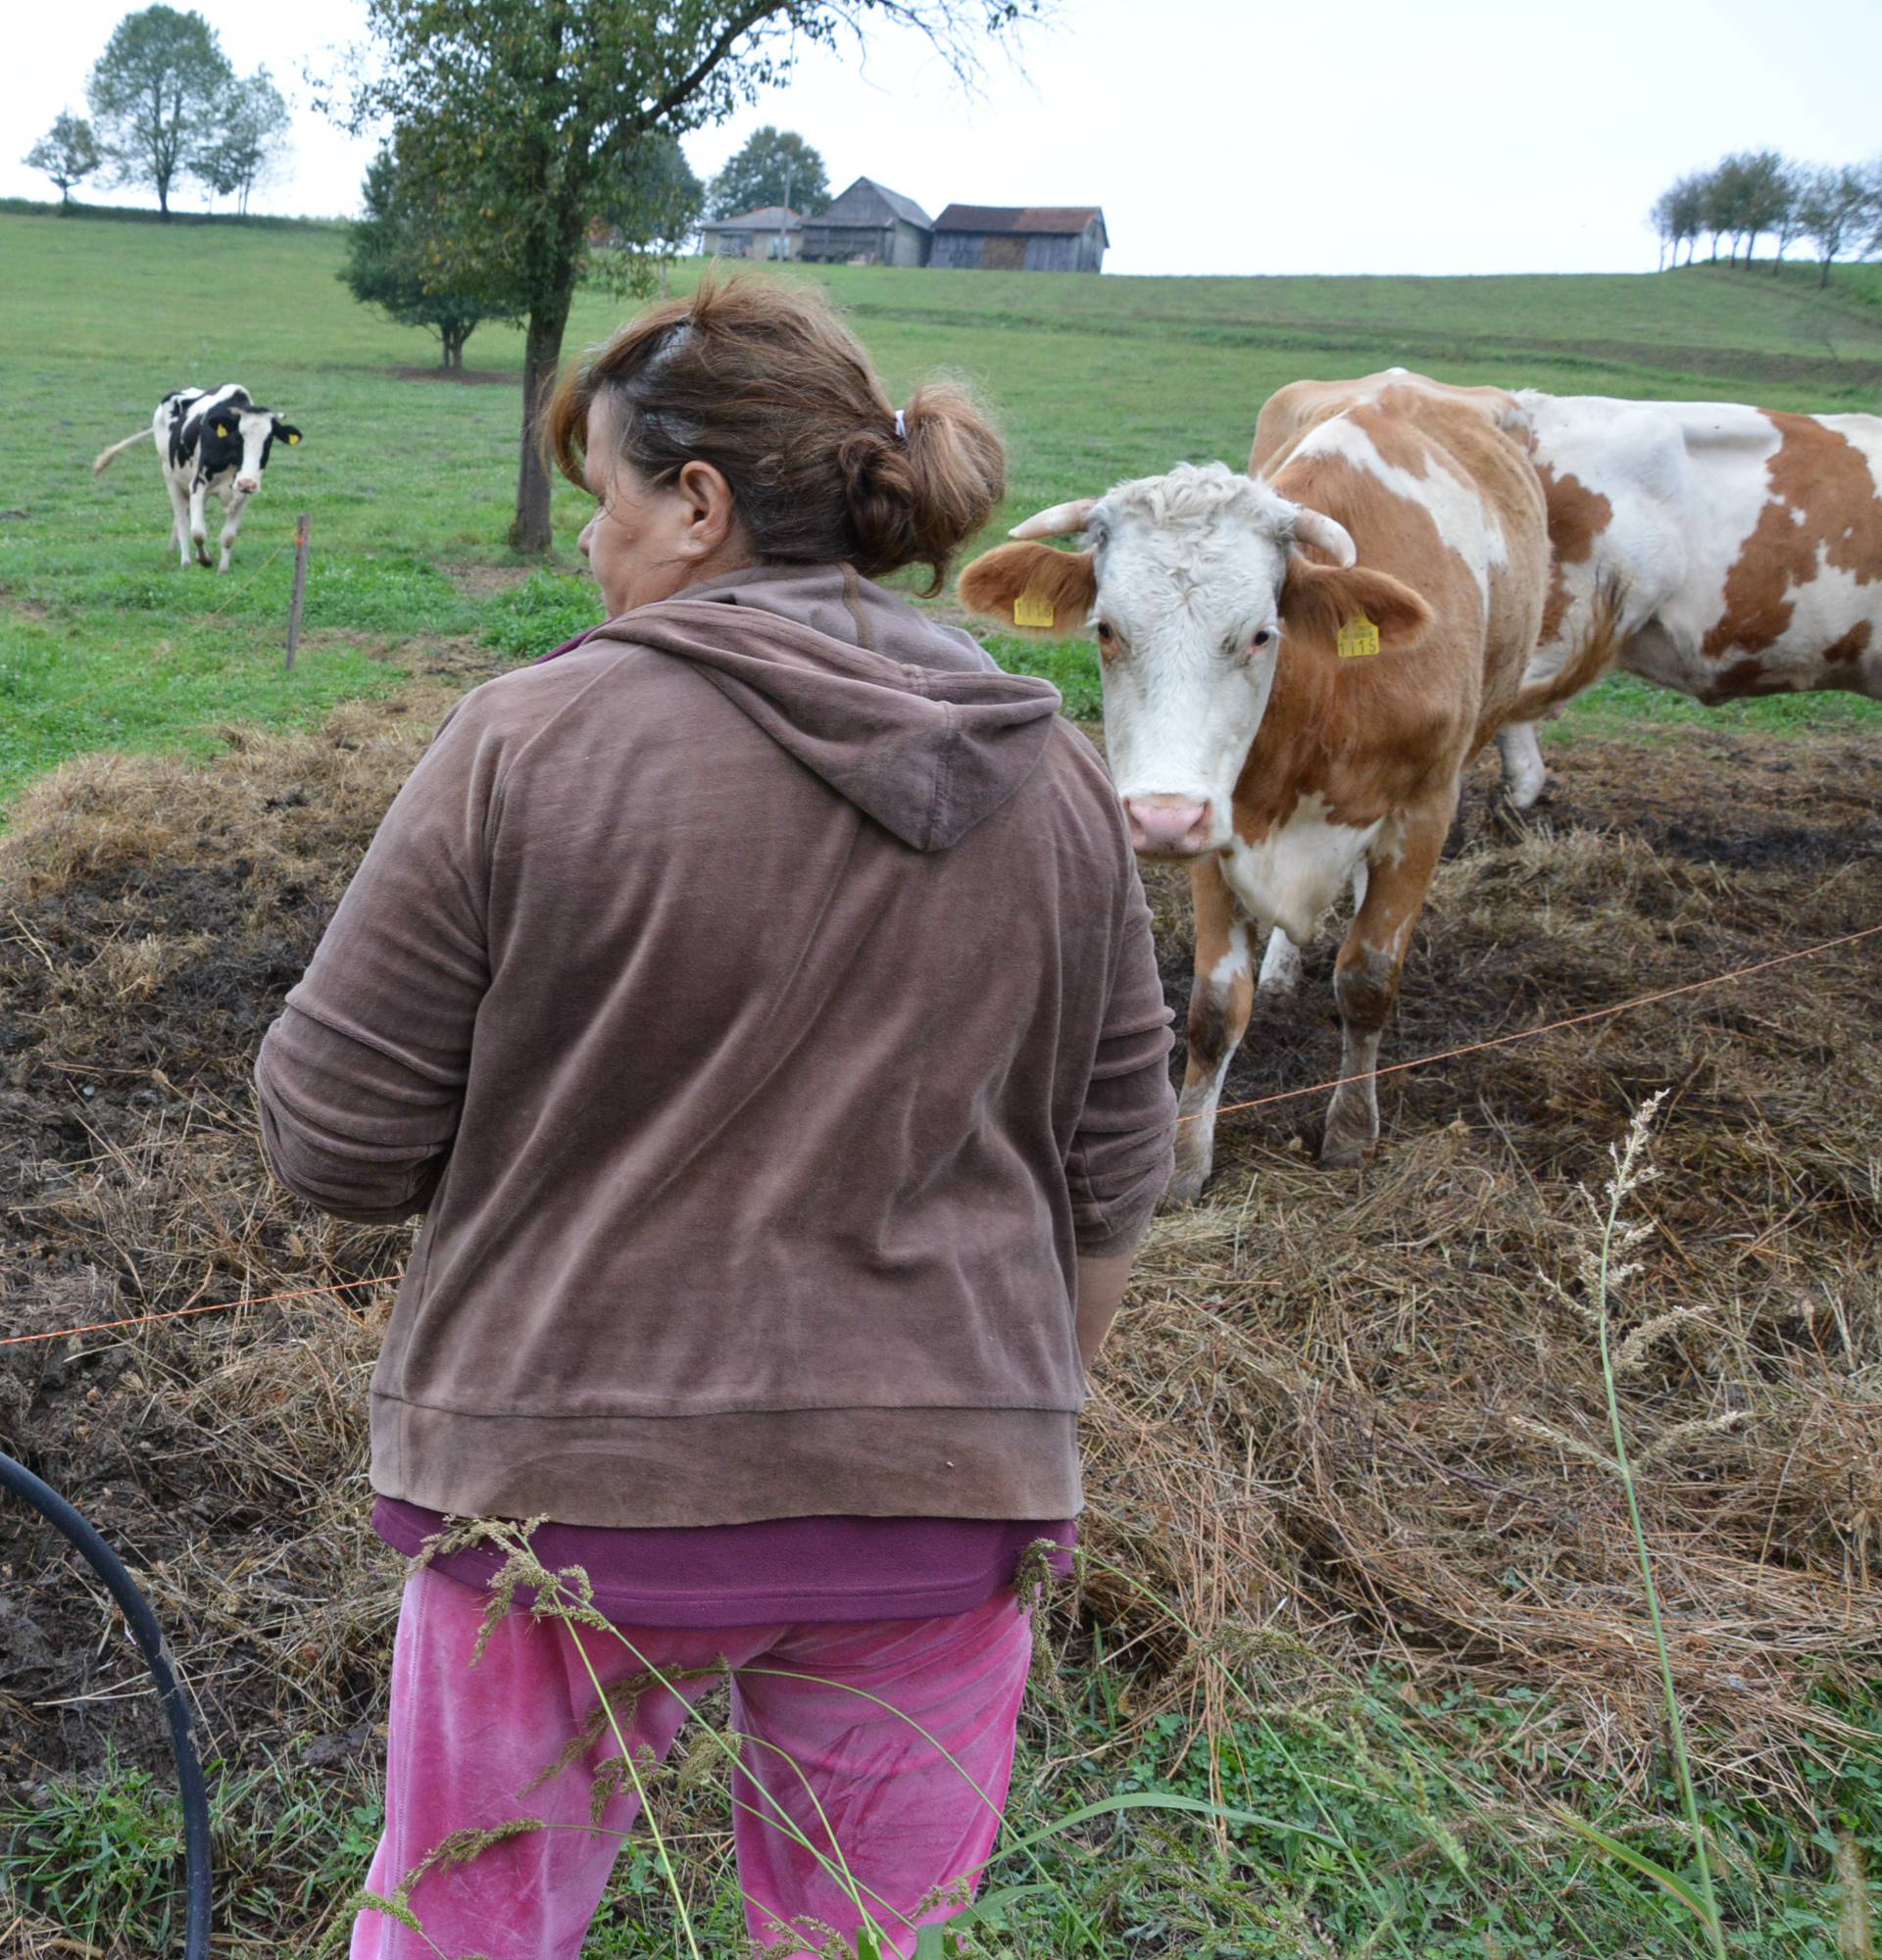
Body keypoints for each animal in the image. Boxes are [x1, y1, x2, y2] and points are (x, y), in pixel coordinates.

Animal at [92, 382, 302, 568]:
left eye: (269, 441)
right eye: (238, 437)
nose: (247, 483)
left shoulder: (242, 494)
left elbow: (228, 537)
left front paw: (223, 569)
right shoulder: (198, 484)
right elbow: (198, 532)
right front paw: (204, 559)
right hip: (170, 476)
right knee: (182, 519)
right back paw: (185, 561)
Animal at [965, 368, 1553, 1192]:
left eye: (1259, 634)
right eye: (1106, 630)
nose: (1159, 819)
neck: (1323, 705)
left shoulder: (1425, 809)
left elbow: (1368, 979)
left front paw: (1350, 1133)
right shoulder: (1220, 823)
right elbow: (1215, 1008)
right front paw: (1183, 1163)